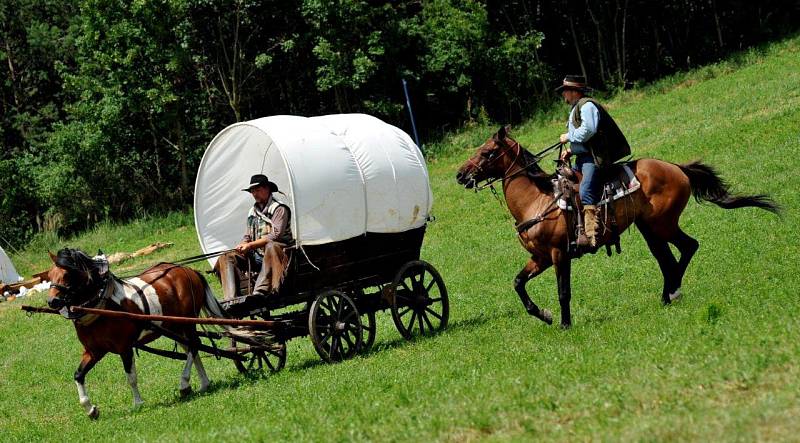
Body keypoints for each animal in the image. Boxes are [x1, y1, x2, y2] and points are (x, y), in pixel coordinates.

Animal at [47, 250, 225, 420]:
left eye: (67, 274)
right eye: (49, 276)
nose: (51, 301)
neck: (101, 305)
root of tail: (188, 270)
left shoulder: (124, 347)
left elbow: (131, 377)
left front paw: (138, 403)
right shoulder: (94, 351)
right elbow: (78, 375)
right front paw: (90, 409)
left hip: (187, 322)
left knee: (194, 346)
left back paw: (184, 384)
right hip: (176, 326)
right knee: (191, 348)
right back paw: (204, 384)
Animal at [460, 126, 780, 328]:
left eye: (487, 152)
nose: (460, 174)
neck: (537, 199)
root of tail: (676, 168)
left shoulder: (558, 255)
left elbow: (564, 291)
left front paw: (564, 323)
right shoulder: (539, 258)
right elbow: (518, 283)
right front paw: (545, 315)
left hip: (662, 224)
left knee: (687, 247)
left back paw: (673, 291)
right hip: (650, 228)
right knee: (667, 257)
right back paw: (668, 294)